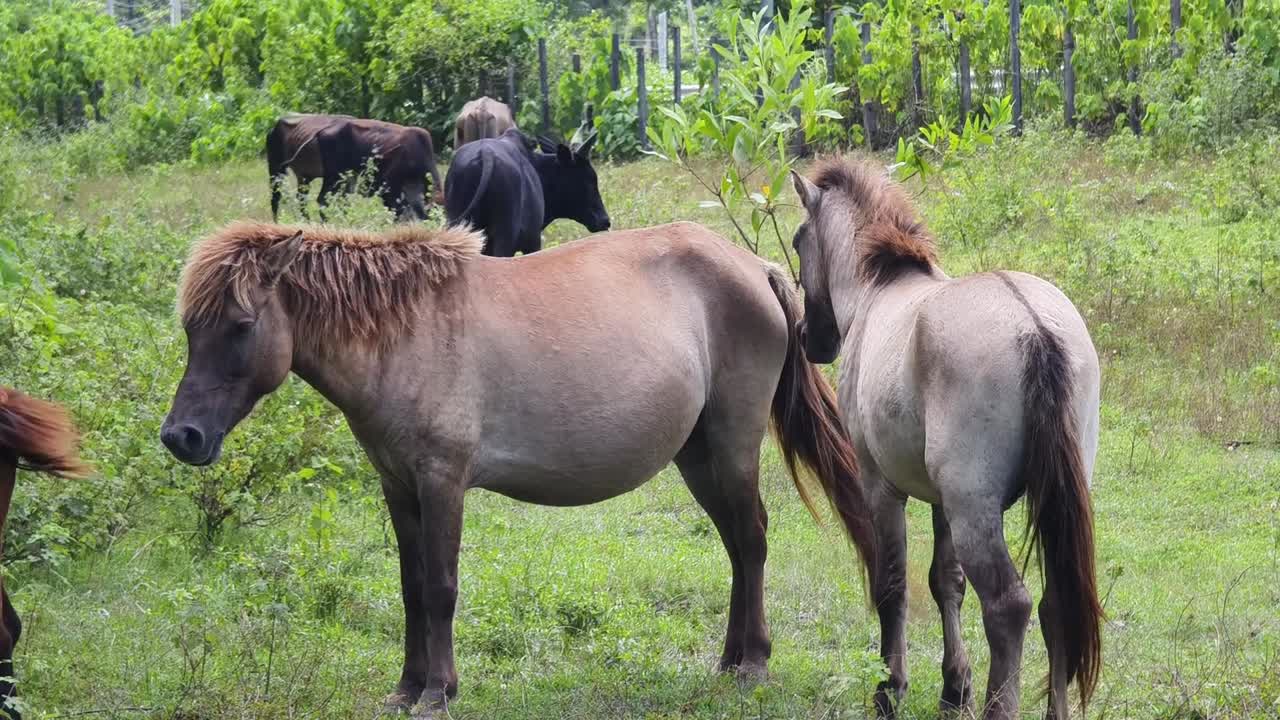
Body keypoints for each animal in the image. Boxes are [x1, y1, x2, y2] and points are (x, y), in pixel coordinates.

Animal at [159, 221, 877, 718]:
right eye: (191, 328)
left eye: (240, 325)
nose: (181, 437)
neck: (405, 334)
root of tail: (756, 268)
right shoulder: (399, 487)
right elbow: (411, 589)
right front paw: (406, 688)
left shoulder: (442, 482)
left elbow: (440, 589)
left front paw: (438, 692)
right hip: (697, 456)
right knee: (736, 546)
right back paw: (729, 660)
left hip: (729, 445)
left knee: (751, 541)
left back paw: (753, 665)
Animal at [789, 158, 1102, 720]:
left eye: (800, 238)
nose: (809, 337)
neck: (880, 289)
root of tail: (1034, 328)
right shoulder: (940, 502)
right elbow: (945, 584)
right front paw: (954, 688)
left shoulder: (881, 488)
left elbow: (892, 586)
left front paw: (889, 688)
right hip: (1037, 502)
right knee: (1055, 604)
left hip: (974, 508)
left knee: (1009, 605)